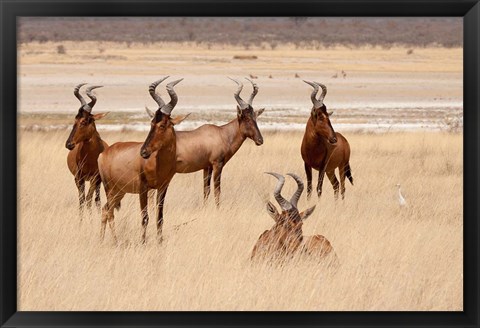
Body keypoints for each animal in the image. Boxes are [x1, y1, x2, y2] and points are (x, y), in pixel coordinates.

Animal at [65, 82, 109, 215]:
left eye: (84, 121)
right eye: (75, 119)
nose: (69, 144)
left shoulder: (95, 178)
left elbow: (89, 199)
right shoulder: (78, 178)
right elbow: (81, 200)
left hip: (99, 181)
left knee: (96, 199)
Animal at [98, 76, 188, 241]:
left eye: (163, 124)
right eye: (151, 122)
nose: (144, 152)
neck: (158, 163)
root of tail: (104, 153)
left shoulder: (163, 187)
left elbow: (160, 217)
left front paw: (160, 241)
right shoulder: (143, 189)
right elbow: (145, 217)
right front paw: (143, 242)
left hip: (120, 191)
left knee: (106, 209)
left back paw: (105, 240)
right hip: (109, 188)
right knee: (109, 212)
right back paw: (113, 241)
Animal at [147, 77, 266, 206]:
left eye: (255, 117)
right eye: (246, 118)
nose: (260, 140)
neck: (221, 134)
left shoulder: (206, 167)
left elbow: (206, 191)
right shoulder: (217, 165)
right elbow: (217, 191)